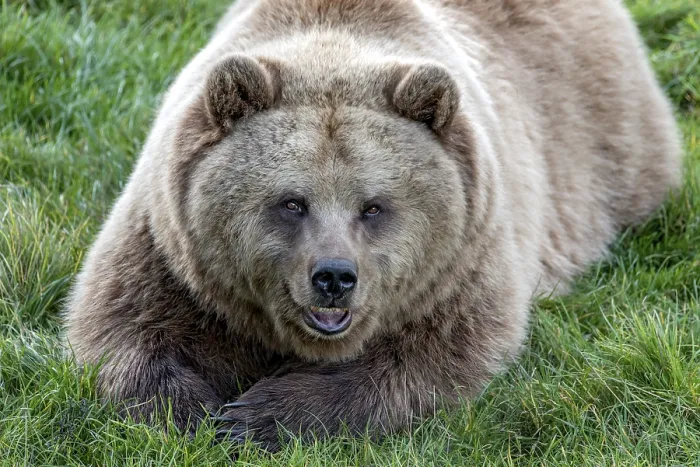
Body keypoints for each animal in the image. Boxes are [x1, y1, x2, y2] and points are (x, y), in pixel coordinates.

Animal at [64, 0, 682, 450]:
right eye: (292, 202)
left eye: (374, 206)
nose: (334, 277)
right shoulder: (169, 246)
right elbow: (122, 327)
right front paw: (195, 414)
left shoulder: (463, 261)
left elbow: (432, 361)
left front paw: (259, 416)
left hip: (602, 144)